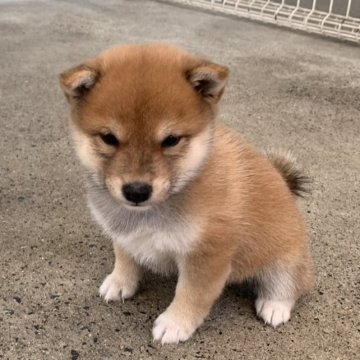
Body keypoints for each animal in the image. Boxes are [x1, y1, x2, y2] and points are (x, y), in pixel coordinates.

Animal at [59, 43, 312, 344]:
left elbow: (191, 294)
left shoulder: (207, 256)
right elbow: (125, 257)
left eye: (171, 140)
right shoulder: (122, 232)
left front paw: (176, 323)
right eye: (108, 138)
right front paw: (120, 282)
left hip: (285, 258)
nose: (136, 191)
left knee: (290, 283)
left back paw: (275, 305)